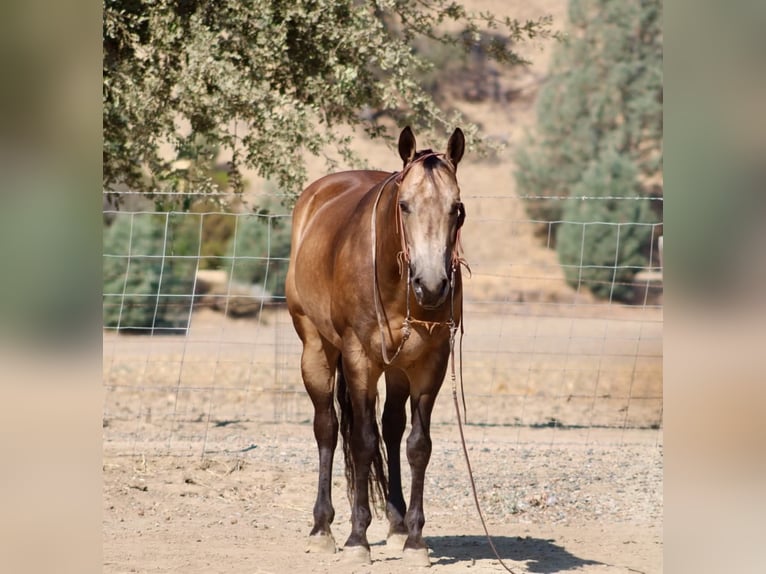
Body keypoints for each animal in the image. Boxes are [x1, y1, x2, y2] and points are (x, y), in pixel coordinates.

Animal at [285, 126, 466, 565]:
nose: (432, 285)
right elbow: (363, 443)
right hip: (316, 351)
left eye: (457, 209)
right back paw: (322, 528)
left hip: (399, 368)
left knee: (392, 429)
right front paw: (357, 539)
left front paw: (415, 540)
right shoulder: (360, 359)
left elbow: (418, 446)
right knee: (329, 429)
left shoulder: (431, 363)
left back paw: (398, 527)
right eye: (404, 206)